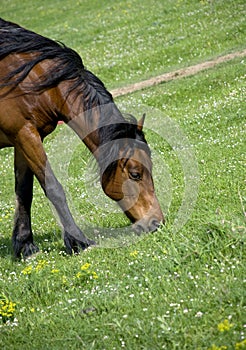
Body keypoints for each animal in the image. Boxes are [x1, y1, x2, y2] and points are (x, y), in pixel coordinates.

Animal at [0, 18, 165, 258]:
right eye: (135, 174)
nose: (157, 222)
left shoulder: (22, 137)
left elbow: (24, 191)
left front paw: (25, 245)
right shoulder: (25, 135)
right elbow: (54, 188)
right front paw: (78, 241)